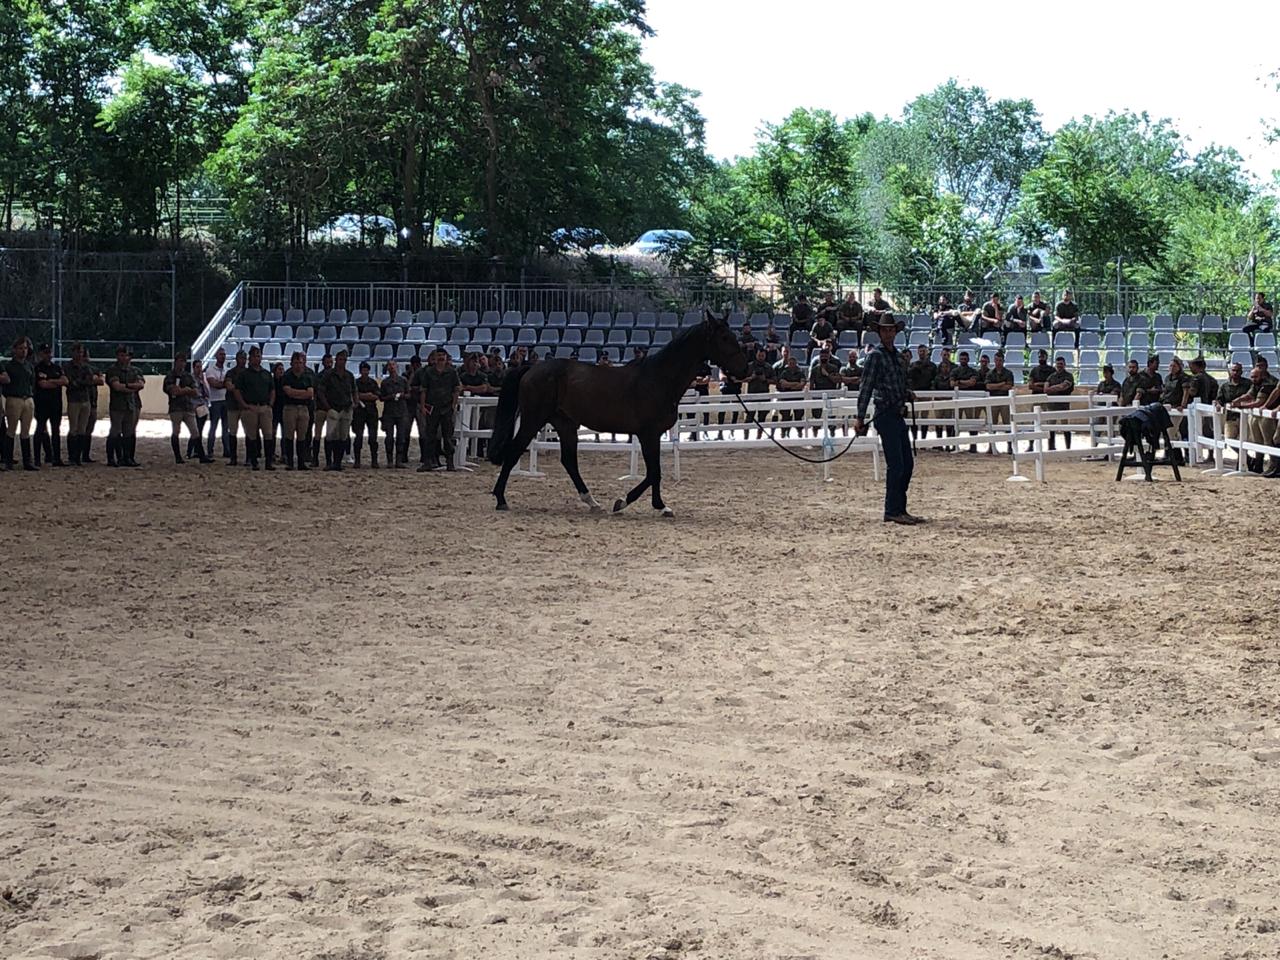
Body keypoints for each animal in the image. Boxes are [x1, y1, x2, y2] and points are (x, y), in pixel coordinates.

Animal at [486, 309, 751, 515]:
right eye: (725, 337)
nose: (744, 370)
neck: (659, 378)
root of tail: (532, 368)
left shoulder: (653, 435)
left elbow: (655, 472)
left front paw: (658, 505)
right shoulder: (648, 434)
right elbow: (654, 472)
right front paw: (627, 502)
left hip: (565, 424)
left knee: (569, 461)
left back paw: (592, 502)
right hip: (534, 419)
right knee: (514, 452)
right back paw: (500, 499)